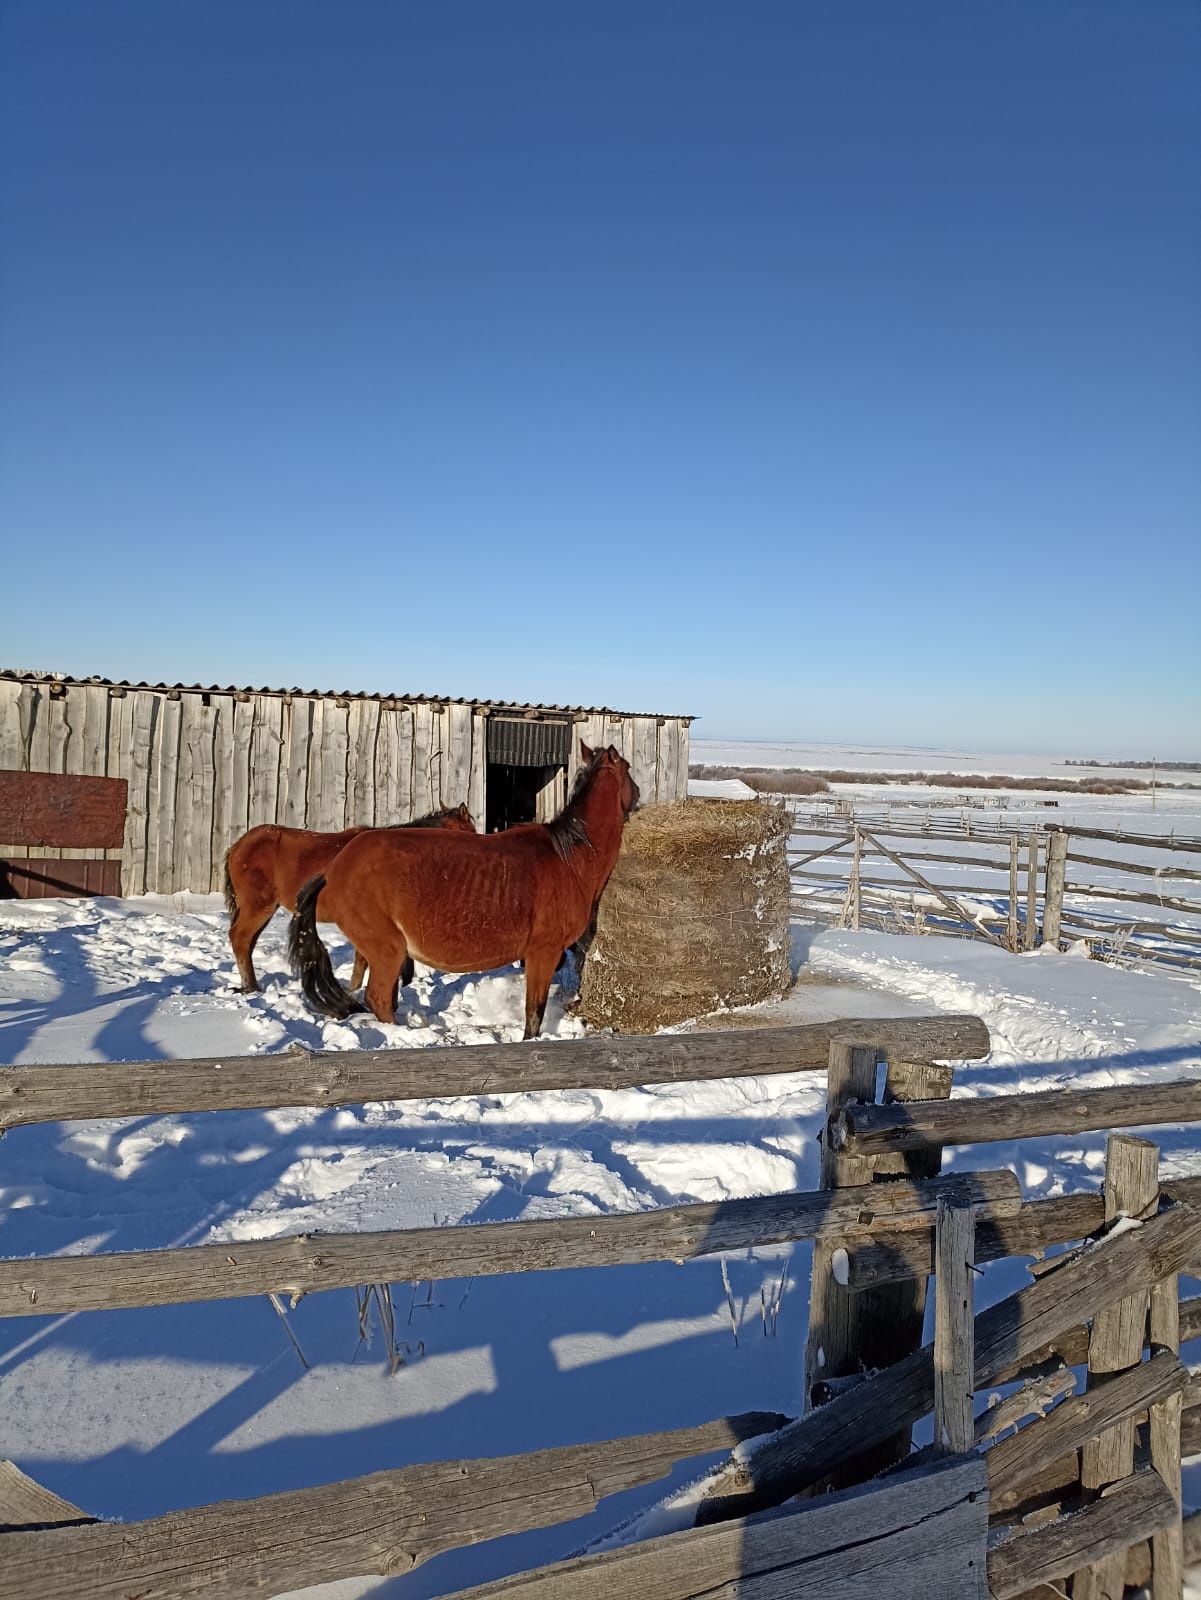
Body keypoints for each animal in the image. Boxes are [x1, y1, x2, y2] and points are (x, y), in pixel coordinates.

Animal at [289, 748, 639, 1036]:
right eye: (629, 768)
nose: (637, 796)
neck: (569, 858)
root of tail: (333, 869)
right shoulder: (544, 952)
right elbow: (533, 1015)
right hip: (386, 950)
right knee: (379, 999)